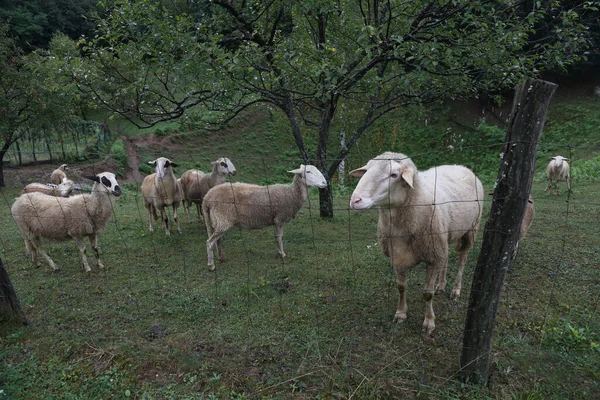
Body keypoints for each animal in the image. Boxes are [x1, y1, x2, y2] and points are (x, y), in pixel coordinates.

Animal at [350, 152, 486, 332]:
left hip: (470, 230)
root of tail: (461, 166)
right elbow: (401, 287)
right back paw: (441, 286)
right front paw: (401, 313)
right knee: (446, 258)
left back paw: (456, 289)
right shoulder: (398, 256)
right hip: (445, 235)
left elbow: (427, 293)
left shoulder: (432, 257)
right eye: (366, 170)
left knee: (461, 261)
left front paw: (429, 322)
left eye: (394, 175)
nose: (355, 200)